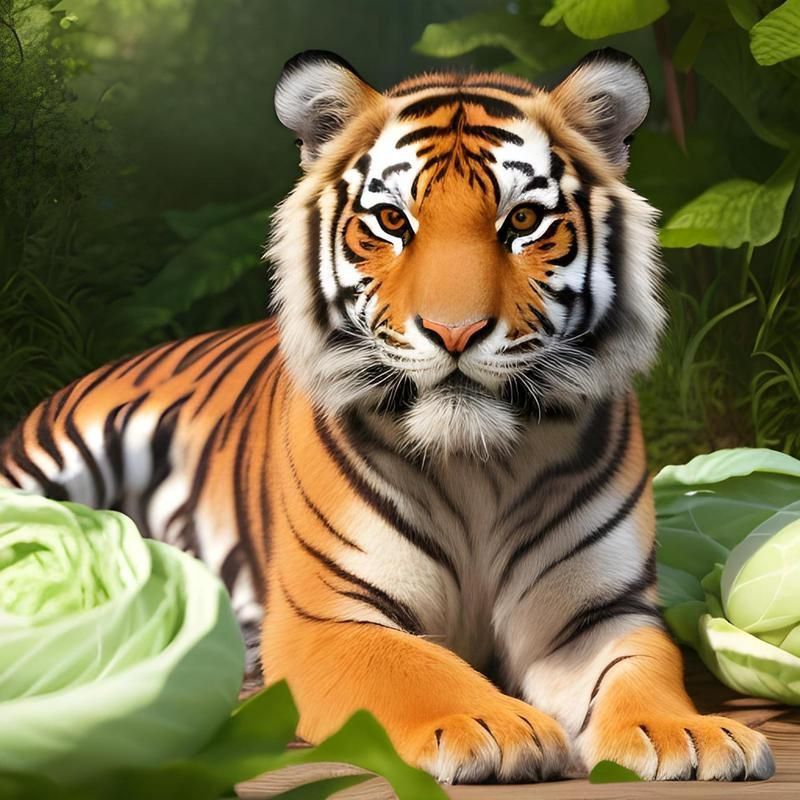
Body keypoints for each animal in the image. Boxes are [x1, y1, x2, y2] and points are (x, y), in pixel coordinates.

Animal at [0, 49, 775, 783]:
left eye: (523, 221)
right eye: (393, 221)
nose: (456, 332)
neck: (478, 467)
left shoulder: (597, 613)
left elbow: (640, 672)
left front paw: (685, 734)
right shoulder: (329, 615)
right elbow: (413, 667)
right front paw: (493, 727)